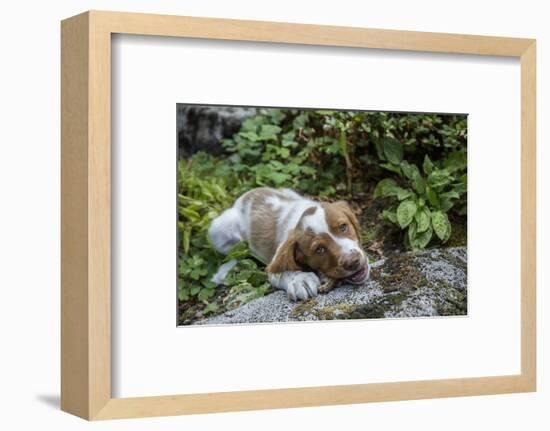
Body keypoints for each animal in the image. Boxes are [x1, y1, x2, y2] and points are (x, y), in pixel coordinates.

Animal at [209, 187, 374, 302]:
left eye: (343, 227)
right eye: (319, 249)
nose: (353, 261)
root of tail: (243, 197)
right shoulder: (273, 267)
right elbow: (286, 271)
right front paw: (301, 281)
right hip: (218, 230)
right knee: (236, 253)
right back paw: (224, 272)